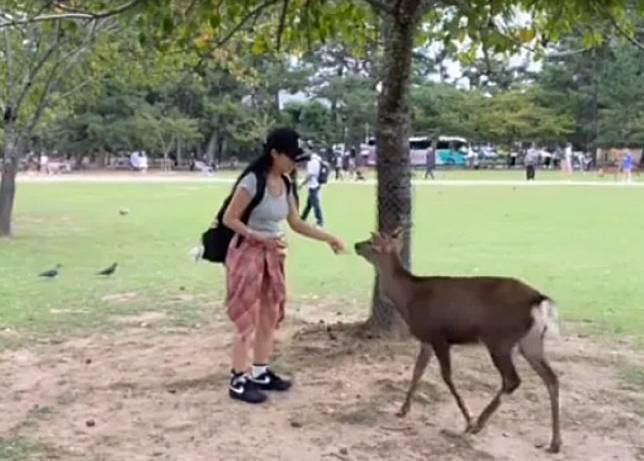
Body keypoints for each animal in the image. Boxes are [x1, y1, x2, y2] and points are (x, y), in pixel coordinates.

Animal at [354, 230, 560, 452]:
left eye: (371, 242)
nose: (356, 245)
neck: (409, 298)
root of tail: (539, 300)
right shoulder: (426, 339)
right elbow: (417, 371)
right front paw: (403, 409)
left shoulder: (439, 336)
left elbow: (447, 376)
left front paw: (468, 419)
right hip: (531, 342)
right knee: (551, 378)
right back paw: (555, 442)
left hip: (500, 340)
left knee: (512, 380)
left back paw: (478, 424)